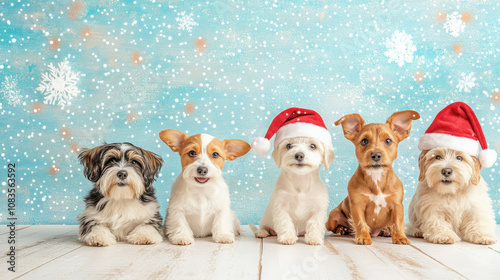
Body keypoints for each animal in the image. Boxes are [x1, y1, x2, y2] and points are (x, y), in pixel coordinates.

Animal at [326, 110, 420, 244]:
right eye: (364, 141)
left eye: (388, 141)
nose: (376, 155)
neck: (376, 178)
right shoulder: (357, 206)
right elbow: (360, 223)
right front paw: (363, 237)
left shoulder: (397, 205)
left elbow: (397, 223)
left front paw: (400, 237)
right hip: (333, 216)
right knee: (336, 226)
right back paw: (342, 229)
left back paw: (386, 231)